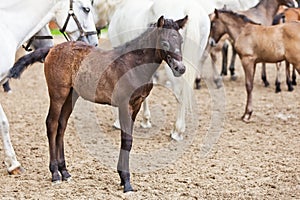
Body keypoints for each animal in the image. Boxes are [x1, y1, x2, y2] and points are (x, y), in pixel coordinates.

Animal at [8, 16, 188, 193]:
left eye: (181, 41)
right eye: (165, 42)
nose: (180, 68)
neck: (133, 64)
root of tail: (53, 49)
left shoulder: (136, 105)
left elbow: (128, 140)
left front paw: (123, 178)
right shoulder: (124, 105)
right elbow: (126, 140)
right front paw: (126, 182)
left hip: (71, 96)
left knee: (61, 126)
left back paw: (65, 172)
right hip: (58, 93)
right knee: (51, 124)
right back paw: (55, 174)